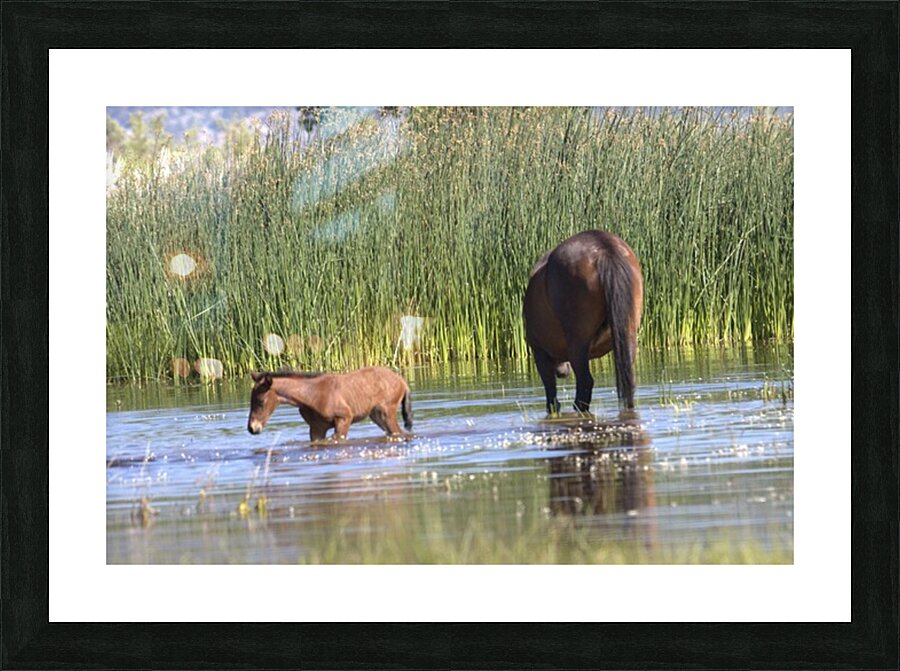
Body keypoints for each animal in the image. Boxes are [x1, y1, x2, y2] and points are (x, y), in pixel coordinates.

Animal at [247, 367, 413, 441]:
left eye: (260, 401)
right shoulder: (316, 428)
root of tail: (402, 381)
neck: (312, 395)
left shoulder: (344, 419)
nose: (252, 428)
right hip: (377, 416)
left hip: (386, 413)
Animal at [523, 230, 643, 415]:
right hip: (628, 336)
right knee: (628, 380)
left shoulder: (540, 352)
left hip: (577, 345)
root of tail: (603, 247)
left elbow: (552, 400)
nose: (563, 372)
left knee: (585, 383)